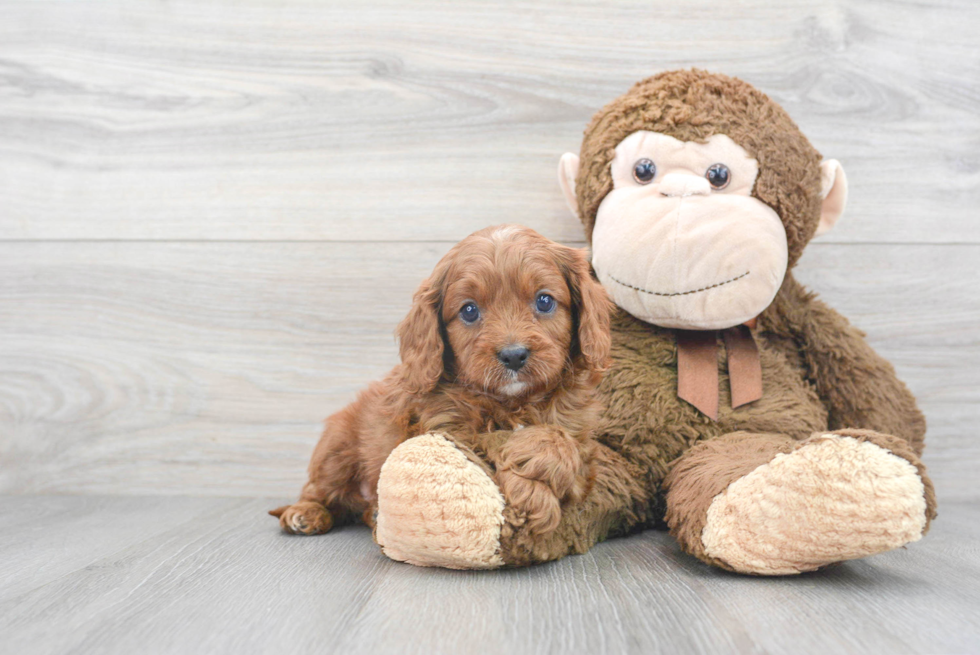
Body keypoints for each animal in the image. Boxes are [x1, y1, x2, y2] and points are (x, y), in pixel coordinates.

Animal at [272, 226, 608, 540]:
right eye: (469, 310)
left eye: (544, 301)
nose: (513, 356)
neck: (513, 403)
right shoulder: (444, 430)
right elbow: (493, 438)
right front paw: (532, 492)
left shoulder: (581, 443)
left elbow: (564, 443)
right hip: (337, 448)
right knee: (319, 491)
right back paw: (305, 514)